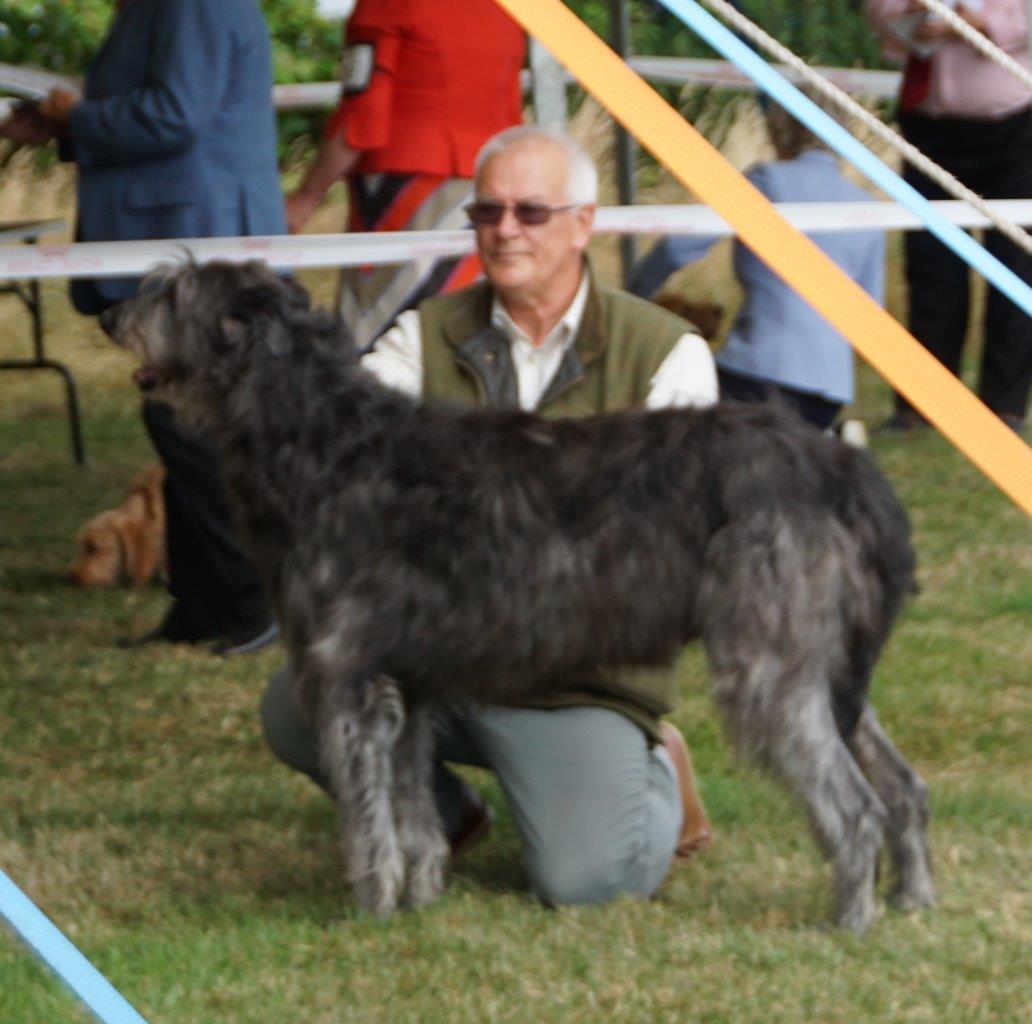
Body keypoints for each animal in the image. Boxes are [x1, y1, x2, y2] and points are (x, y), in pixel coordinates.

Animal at [102, 260, 937, 933]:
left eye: (174, 292)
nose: (110, 316)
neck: (317, 434)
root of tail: (840, 466)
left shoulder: (346, 677)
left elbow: (368, 813)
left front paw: (369, 908)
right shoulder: (410, 682)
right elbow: (410, 806)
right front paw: (421, 895)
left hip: (768, 662)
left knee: (856, 806)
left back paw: (850, 918)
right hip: (824, 663)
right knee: (902, 783)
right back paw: (913, 898)